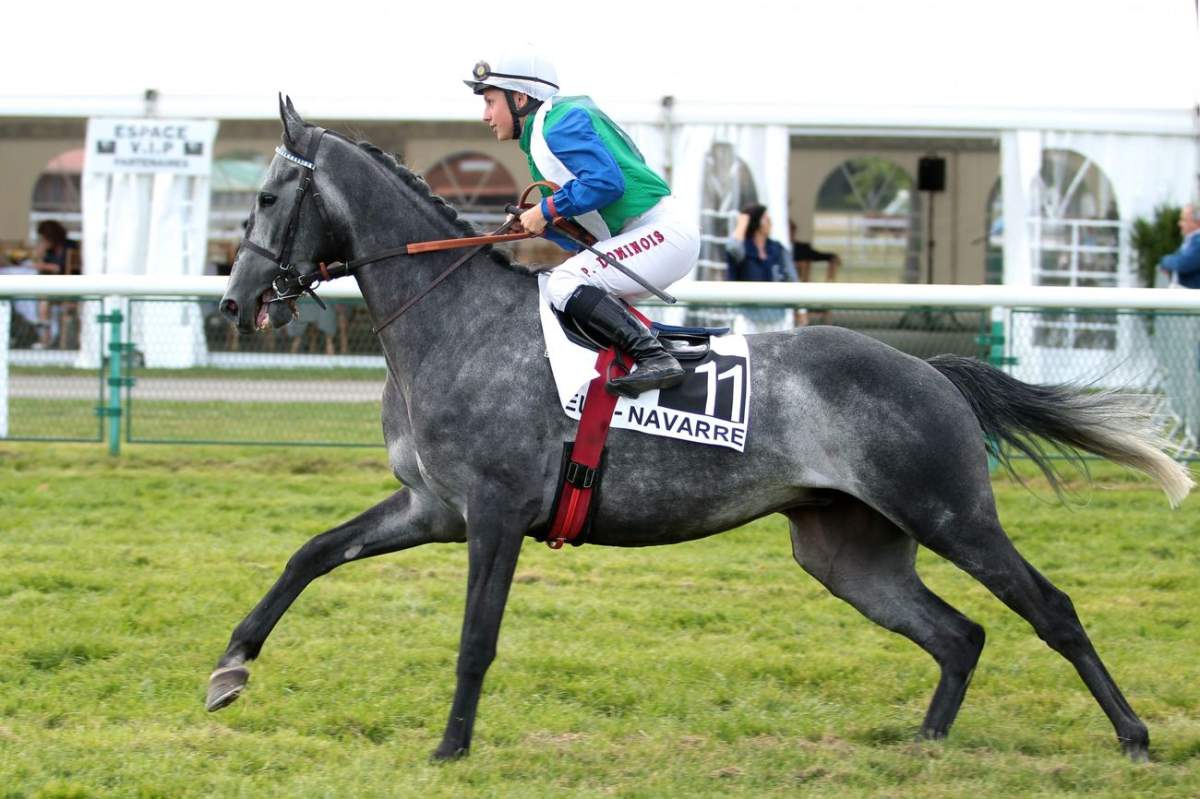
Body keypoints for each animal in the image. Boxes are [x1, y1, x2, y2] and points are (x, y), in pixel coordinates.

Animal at [209, 97, 1193, 762]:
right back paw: (925, 742)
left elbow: (476, 638)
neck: (452, 320)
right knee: (960, 635)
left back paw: (1135, 734)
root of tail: (931, 370)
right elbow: (309, 554)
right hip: (848, 552)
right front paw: (230, 667)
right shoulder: (432, 507)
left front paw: (451, 747)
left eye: (267, 197)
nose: (234, 300)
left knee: (1050, 610)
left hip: (952, 513)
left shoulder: (494, 514)